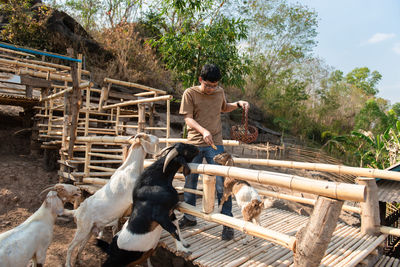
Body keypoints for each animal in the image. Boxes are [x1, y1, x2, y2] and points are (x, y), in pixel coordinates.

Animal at [65, 133, 159, 266]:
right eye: (148, 136)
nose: (158, 138)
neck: (131, 168)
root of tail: (77, 211)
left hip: (89, 231)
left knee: (80, 247)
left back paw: (79, 260)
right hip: (82, 230)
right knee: (70, 247)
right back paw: (68, 263)